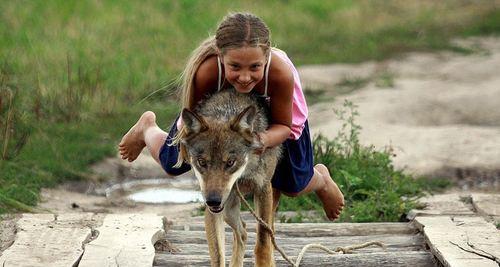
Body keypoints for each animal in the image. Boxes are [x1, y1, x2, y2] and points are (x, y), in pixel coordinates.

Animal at [181, 89, 282, 266]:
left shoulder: (263, 189)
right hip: (228, 208)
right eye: (202, 162)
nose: (213, 201)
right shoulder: (213, 210)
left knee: (268, 234)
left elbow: (263, 246)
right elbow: (218, 256)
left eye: (230, 162)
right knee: (242, 231)